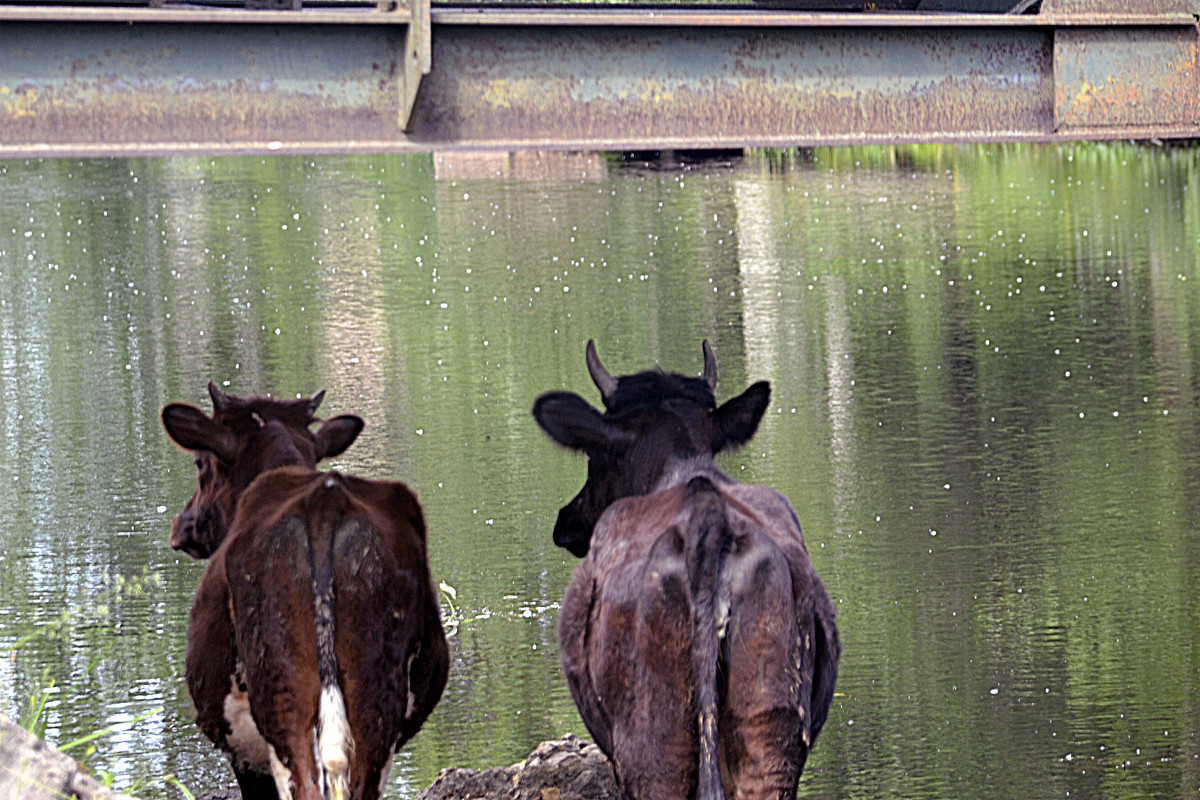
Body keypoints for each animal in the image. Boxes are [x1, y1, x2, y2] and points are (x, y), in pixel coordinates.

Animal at [164, 383, 451, 796]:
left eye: (200, 464)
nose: (181, 524)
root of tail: (325, 499)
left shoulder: (245, 756)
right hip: (375, 705)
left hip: (283, 703)